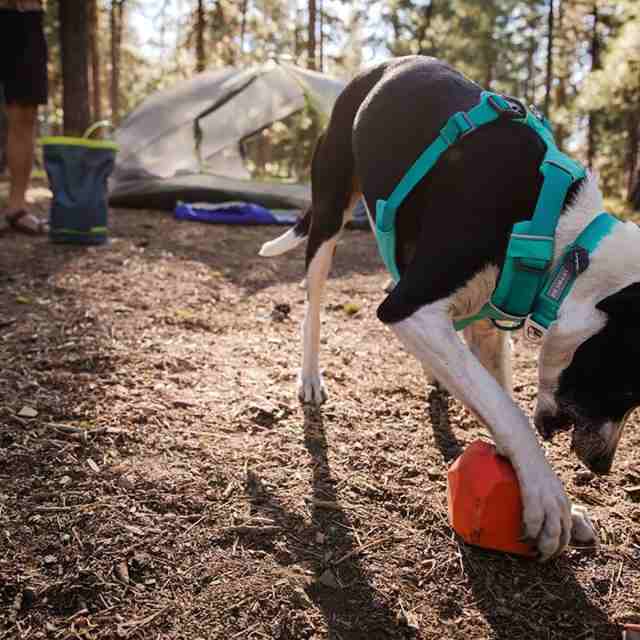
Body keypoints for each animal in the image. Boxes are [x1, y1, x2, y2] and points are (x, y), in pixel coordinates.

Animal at [258, 57, 640, 564]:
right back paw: (311, 377)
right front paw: (548, 498)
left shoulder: (489, 321)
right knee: (314, 304)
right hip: (329, 216)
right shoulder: (410, 308)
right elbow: (508, 410)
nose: (602, 465)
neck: (564, 236)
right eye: (627, 388)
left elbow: (496, 399)